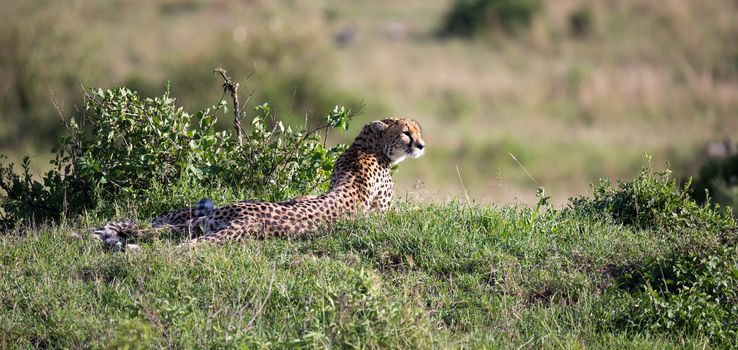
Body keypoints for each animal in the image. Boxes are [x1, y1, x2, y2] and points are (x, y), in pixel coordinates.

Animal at [93, 118, 426, 249]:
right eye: (407, 133)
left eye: (418, 132)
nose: (421, 145)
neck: (367, 146)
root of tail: (250, 218)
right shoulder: (381, 213)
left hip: (206, 222)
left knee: (165, 227)